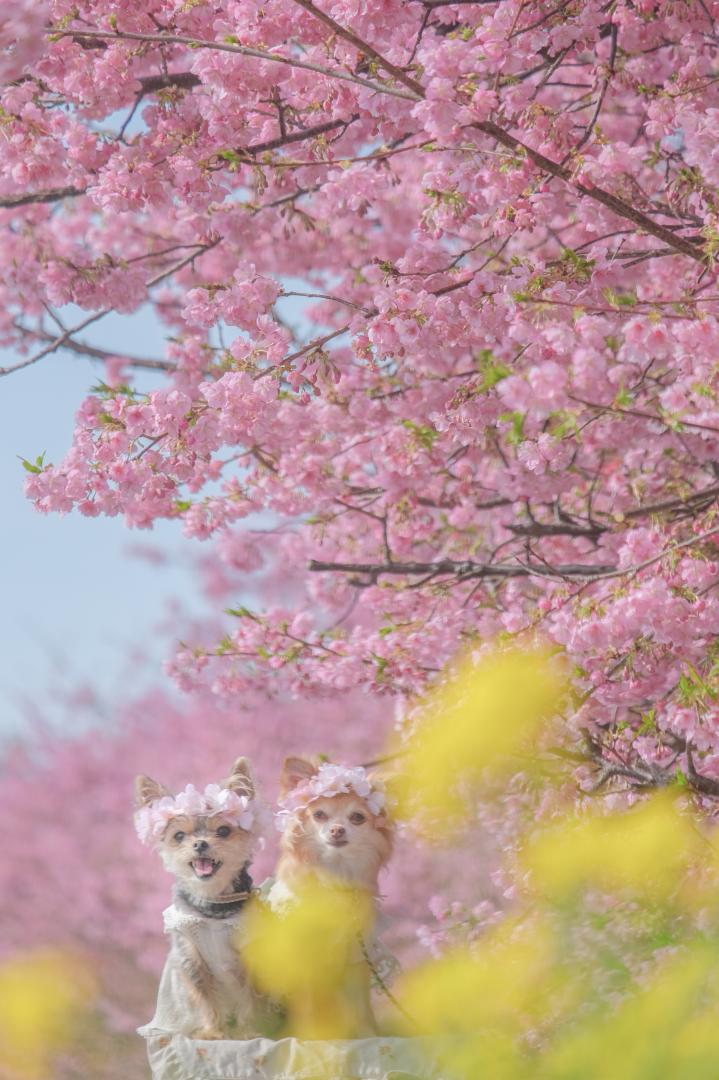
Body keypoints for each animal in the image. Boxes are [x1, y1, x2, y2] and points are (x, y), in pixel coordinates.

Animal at [132, 756, 262, 1041]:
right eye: (179, 836)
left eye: (223, 831)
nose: (200, 843)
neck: (212, 903)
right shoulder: (191, 960)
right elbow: (206, 998)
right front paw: (213, 1032)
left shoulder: (247, 958)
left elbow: (248, 995)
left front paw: (250, 1031)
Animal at [265, 756, 395, 1032]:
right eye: (319, 815)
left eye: (357, 817)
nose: (336, 830)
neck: (335, 873)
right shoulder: (302, 957)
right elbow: (309, 1006)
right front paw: (312, 1036)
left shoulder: (356, 956)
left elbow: (361, 1007)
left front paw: (369, 1033)